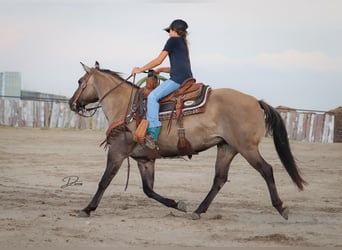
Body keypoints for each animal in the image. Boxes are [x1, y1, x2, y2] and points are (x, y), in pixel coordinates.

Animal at [68, 61, 306, 220]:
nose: (72, 103)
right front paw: (177, 204)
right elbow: (148, 189)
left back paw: (281, 208)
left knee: (266, 170)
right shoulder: (145, 160)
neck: (126, 107)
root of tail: (256, 101)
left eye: (80, 81)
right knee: (219, 178)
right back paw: (198, 211)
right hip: (227, 147)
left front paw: (87, 209)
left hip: (247, 148)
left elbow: (104, 181)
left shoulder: (117, 152)